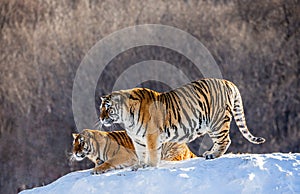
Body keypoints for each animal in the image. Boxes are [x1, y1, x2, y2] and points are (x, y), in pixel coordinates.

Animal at [99, 78, 266, 167]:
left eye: (108, 108)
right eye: (101, 108)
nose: (101, 118)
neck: (127, 119)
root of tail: (226, 82)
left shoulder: (152, 136)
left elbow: (152, 152)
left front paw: (151, 165)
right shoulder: (138, 139)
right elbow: (141, 153)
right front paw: (141, 165)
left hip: (217, 122)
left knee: (225, 140)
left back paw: (214, 155)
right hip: (211, 125)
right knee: (220, 141)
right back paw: (209, 153)